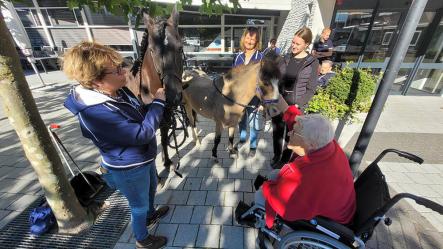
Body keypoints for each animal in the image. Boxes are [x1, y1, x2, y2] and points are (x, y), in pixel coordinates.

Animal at [126, 8, 184, 170]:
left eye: (180, 48)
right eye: (152, 50)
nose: (172, 95)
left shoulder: (166, 119)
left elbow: (164, 139)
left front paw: (167, 160)